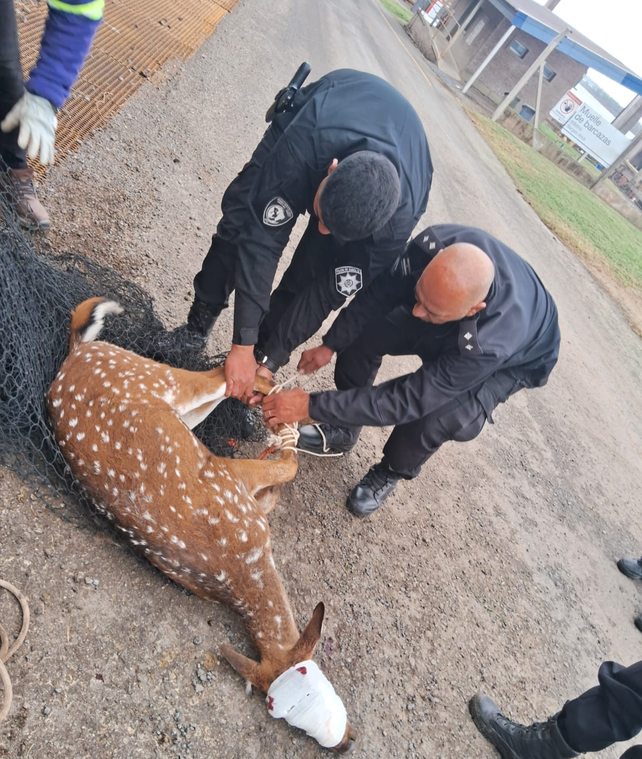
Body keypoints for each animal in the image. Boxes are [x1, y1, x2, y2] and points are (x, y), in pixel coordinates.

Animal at [46, 298, 356, 753]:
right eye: (288, 708)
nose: (345, 743)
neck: (238, 566)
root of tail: (75, 353)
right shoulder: (228, 478)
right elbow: (288, 467)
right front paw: (283, 440)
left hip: (177, 408)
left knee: (224, 383)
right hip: (157, 380)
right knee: (224, 373)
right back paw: (275, 392)